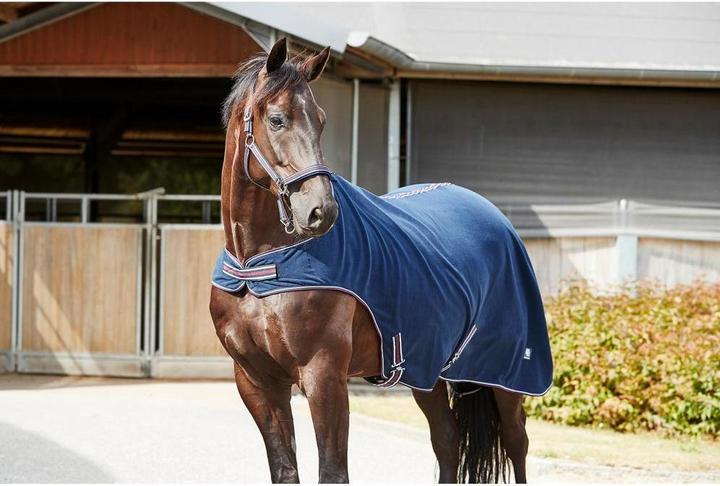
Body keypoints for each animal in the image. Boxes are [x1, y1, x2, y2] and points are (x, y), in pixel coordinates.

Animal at [209, 38, 552, 484]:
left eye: (321, 120)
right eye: (277, 119)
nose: (321, 211)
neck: (258, 267)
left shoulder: (324, 376)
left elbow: (332, 471)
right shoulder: (257, 382)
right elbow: (286, 470)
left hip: (506, 375)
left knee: (516, 441)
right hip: (428, 373)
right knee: (447, 439)